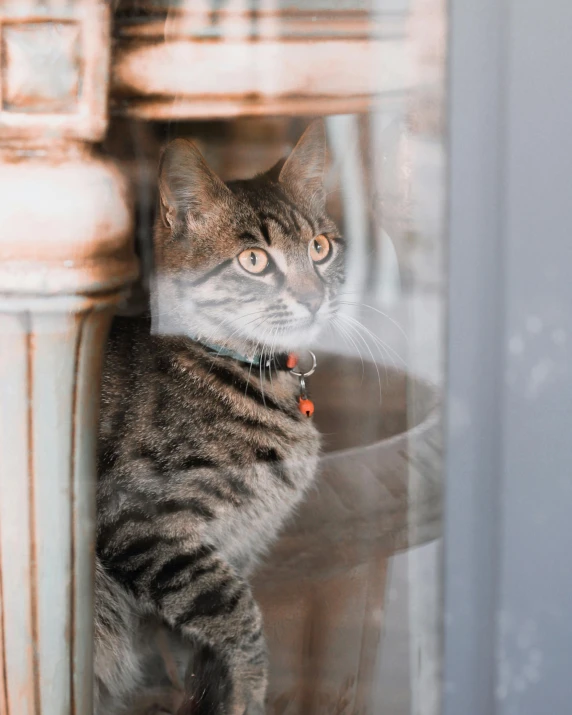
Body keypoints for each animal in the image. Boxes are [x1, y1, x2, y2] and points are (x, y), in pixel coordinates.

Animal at [94, 120, 344, 712]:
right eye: (254, 260)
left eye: (319, 247)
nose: (314, 298)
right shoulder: (142, 524)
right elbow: (237, 611)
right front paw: (253, 686)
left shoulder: (241, 545)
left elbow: (203, 662)